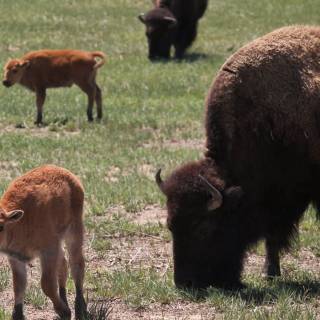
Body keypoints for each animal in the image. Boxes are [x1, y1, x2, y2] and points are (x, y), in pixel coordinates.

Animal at [0, 165, 86, 320]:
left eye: (1, 226)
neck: (18, 223)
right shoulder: (16, 258)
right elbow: (18, 285)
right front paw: (17, 314)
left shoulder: (48, 251)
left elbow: (46, 284)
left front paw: (64, 312)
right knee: (63, 265)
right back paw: (65, 300)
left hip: (74, 231)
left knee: (77, 265)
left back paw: (79, 308)